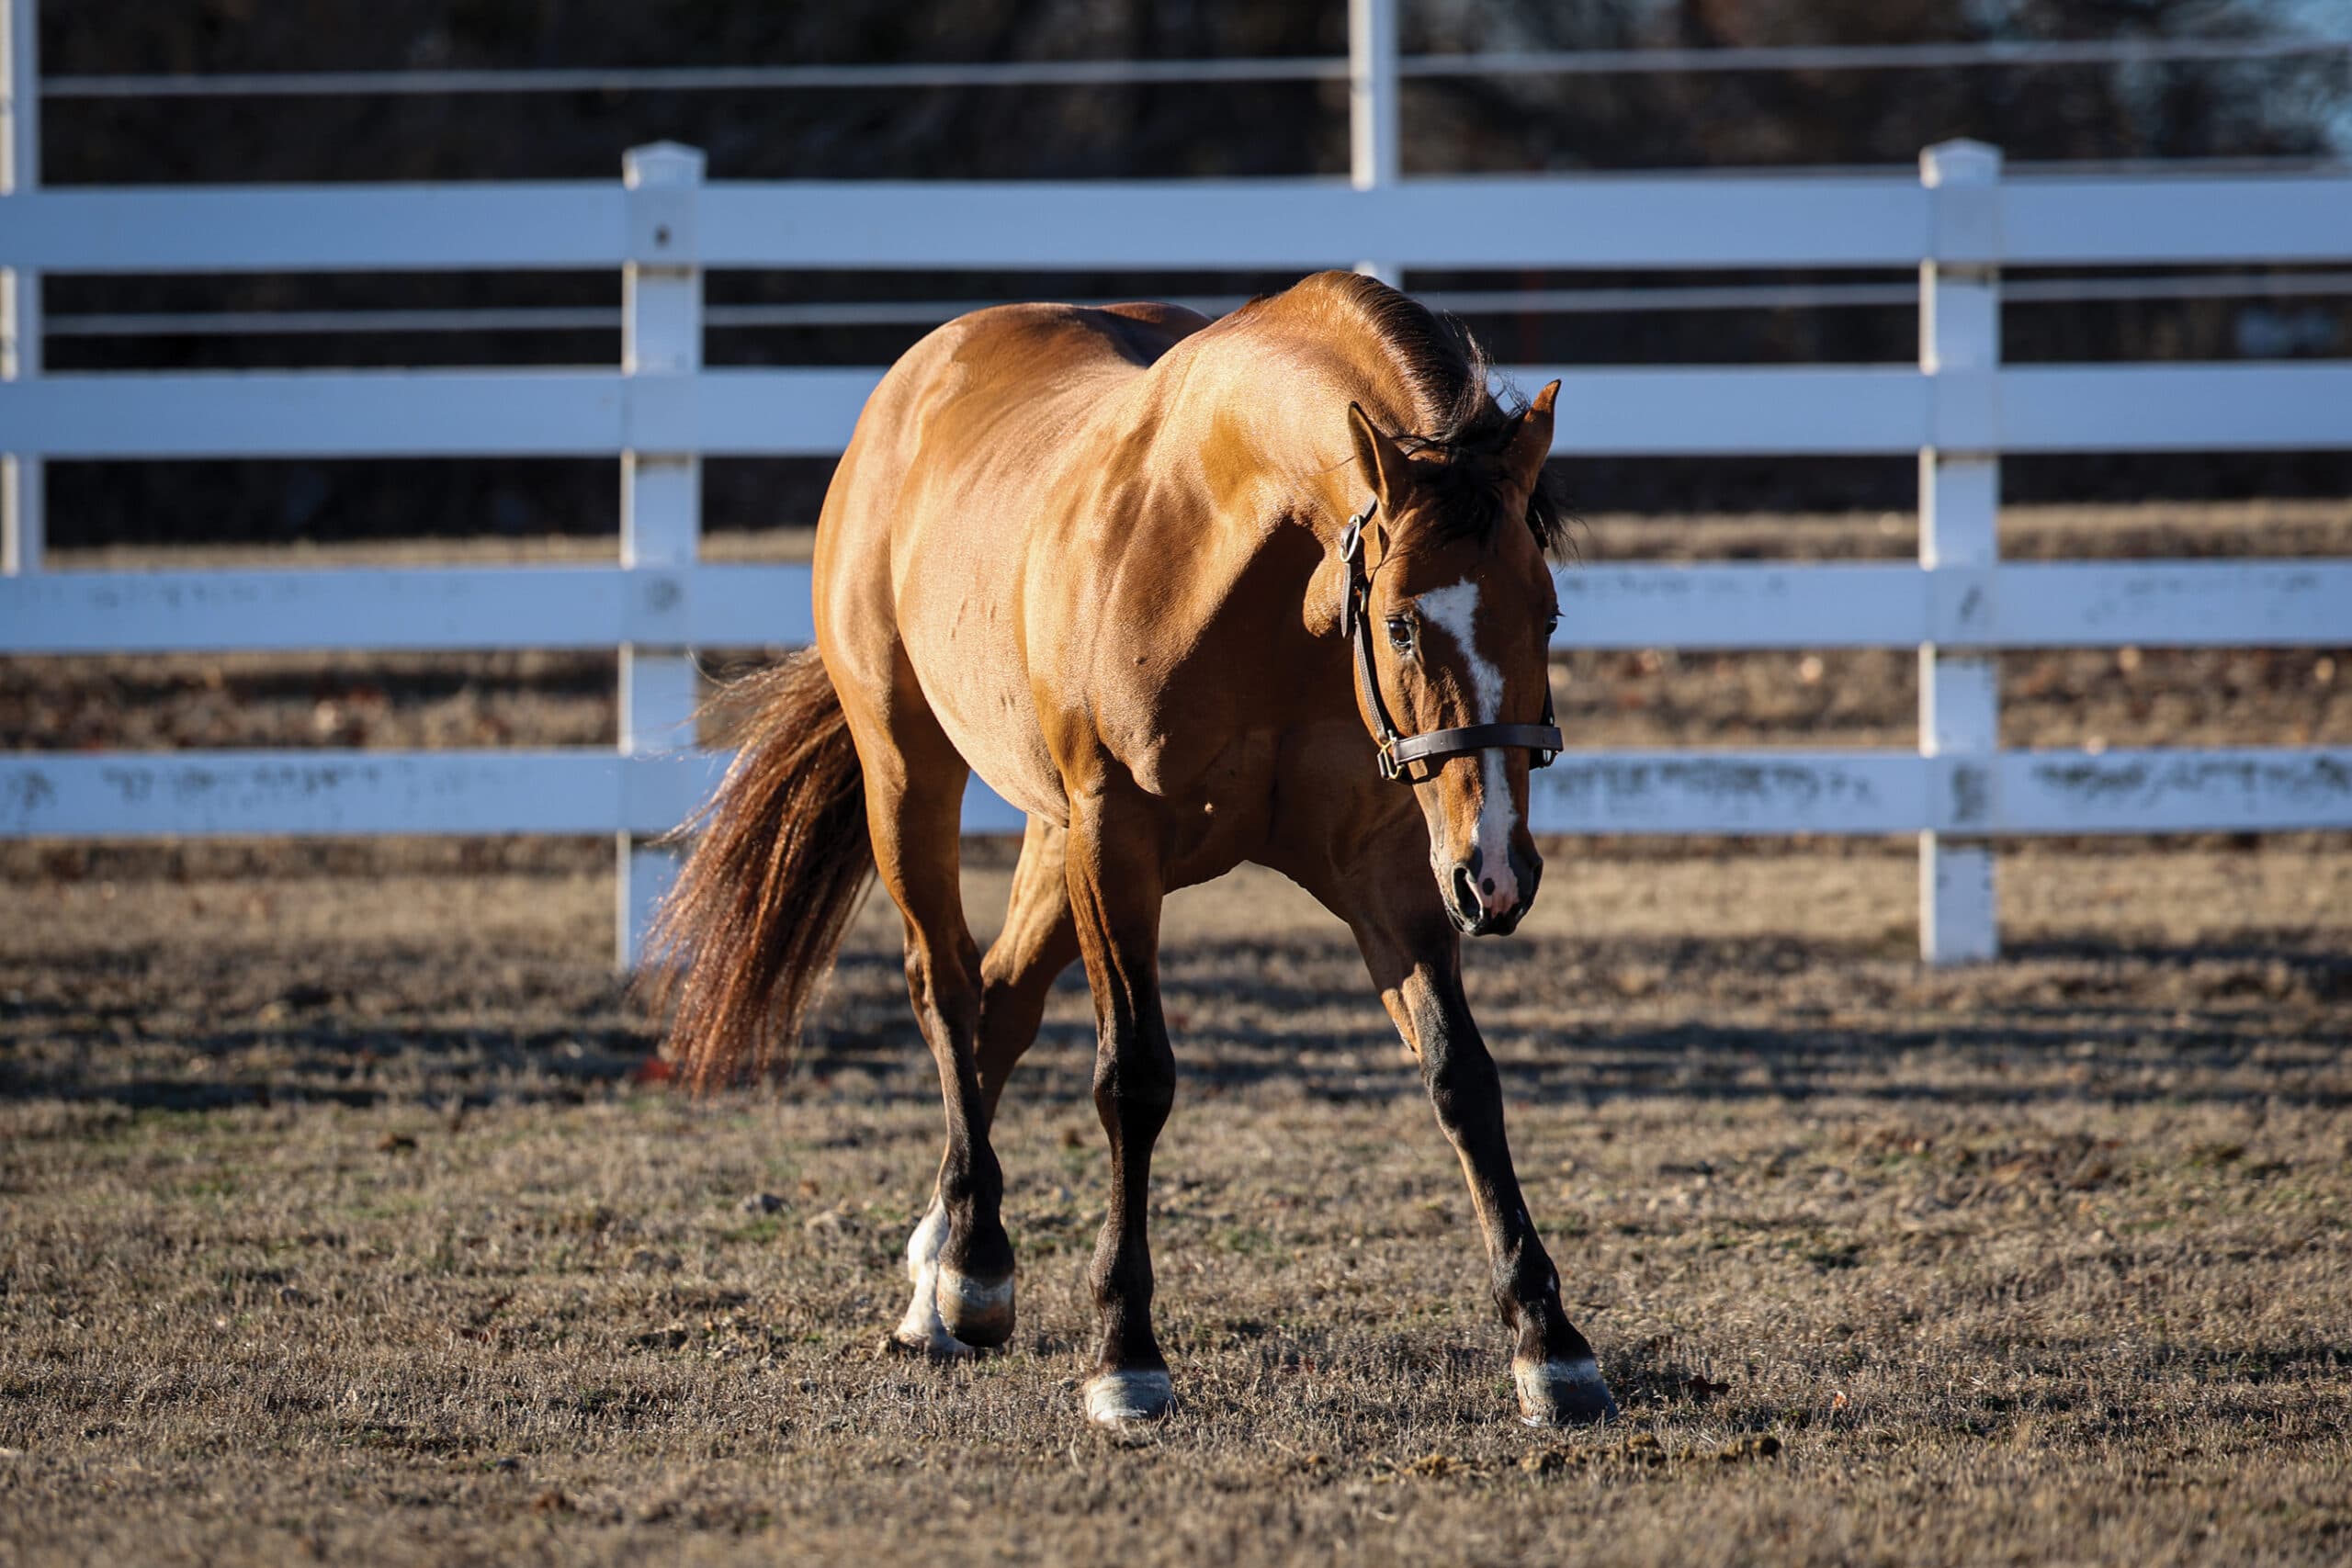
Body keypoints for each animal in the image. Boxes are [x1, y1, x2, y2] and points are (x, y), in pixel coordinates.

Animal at [647, 269, 1617, 1429]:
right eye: (1399, 626)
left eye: (1548, 615)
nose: (1500, 875)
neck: (1243, 566)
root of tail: (916, 381)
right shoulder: (1118, 844)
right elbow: (1133, 1080)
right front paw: (1125, 1355)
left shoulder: (1387, 869)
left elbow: (1460, 1077)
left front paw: (1550, 1347)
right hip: (910, 774)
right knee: (946, 987)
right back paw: (970, 1272)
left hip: (1052, 834)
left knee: (1002, 1000)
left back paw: (946, 1268)